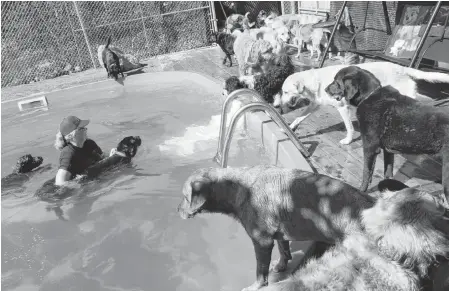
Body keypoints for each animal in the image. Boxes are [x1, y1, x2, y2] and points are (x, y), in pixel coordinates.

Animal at [177, 165, 372, 290]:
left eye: (185, 197)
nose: (177, 210)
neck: (236, 187)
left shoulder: (262, 241)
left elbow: (260, 273)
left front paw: (256, 286)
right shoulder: (280, 235)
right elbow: (284, 251)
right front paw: (280, 266)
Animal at [324, 66, 448, 203]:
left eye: (336, 82)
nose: (325, 89)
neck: (369, 95)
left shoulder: (370, 148)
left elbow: (366, 173)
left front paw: (361, 191)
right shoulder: (388, 151)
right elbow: (388, 172)